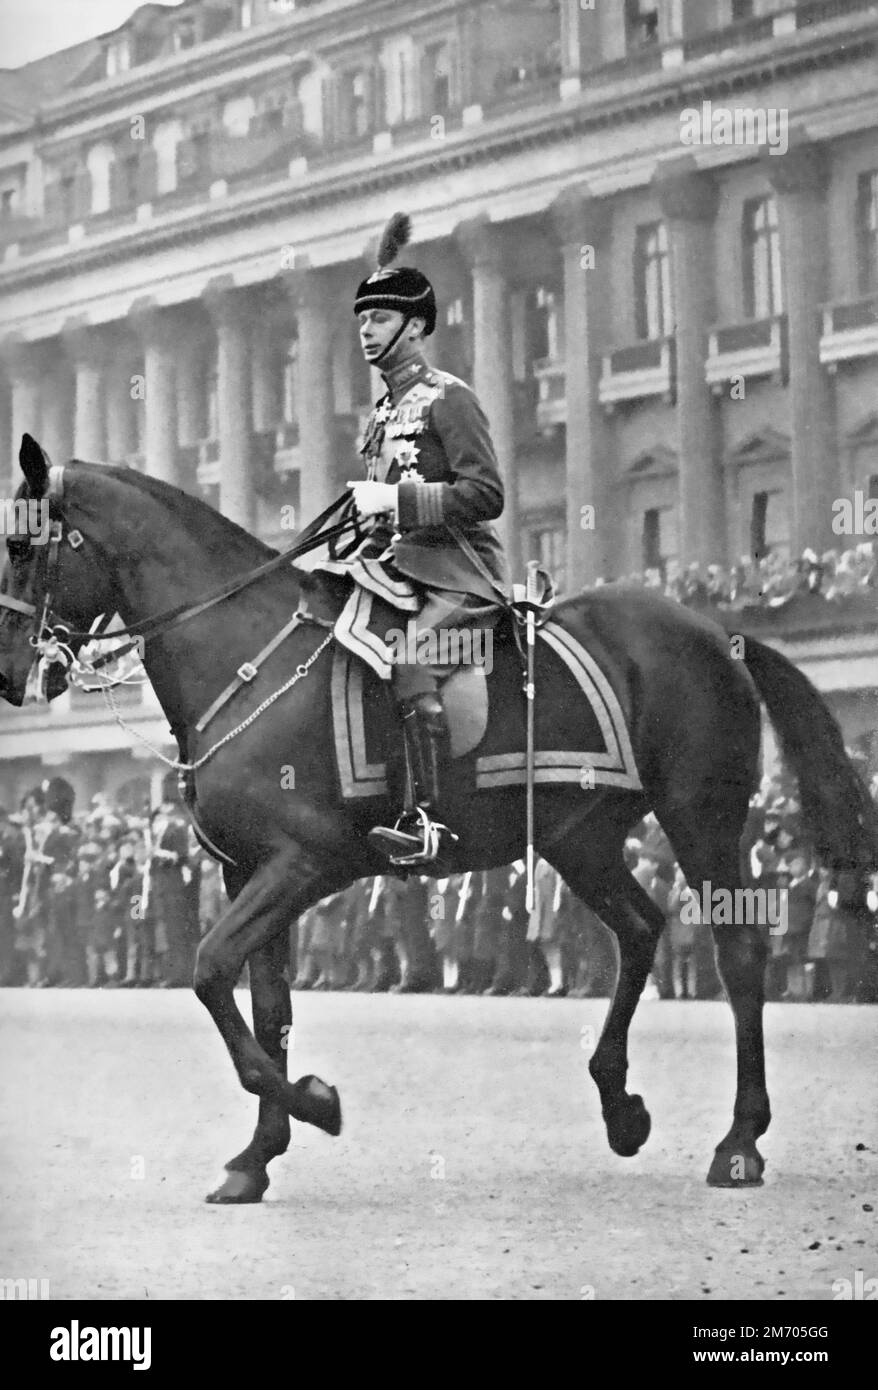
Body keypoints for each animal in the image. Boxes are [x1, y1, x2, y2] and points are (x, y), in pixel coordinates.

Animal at [3, 439, 872, 1200]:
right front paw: (257, 1157)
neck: (246, 654)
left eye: (21, 546)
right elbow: (267, 1008)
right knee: (640, 929)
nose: (12, 677)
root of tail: (715, 631)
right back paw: (620, 1106)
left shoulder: (303, 863)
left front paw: (316, 1103)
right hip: (580, 838)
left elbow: (212, 971)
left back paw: (740, 1141)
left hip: (701, 818)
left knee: (740, 956)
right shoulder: (244, 870)